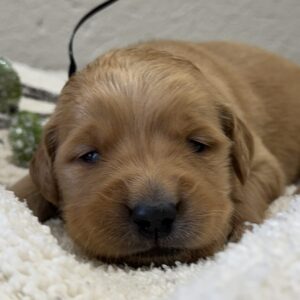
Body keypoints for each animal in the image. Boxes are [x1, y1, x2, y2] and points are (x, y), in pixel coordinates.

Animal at [11, 41, 300, 266]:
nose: (155, 215)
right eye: (90, 156)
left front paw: (242, 230)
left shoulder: (262, 161)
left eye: (198, 144)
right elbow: (31, 186)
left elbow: (246, 190)